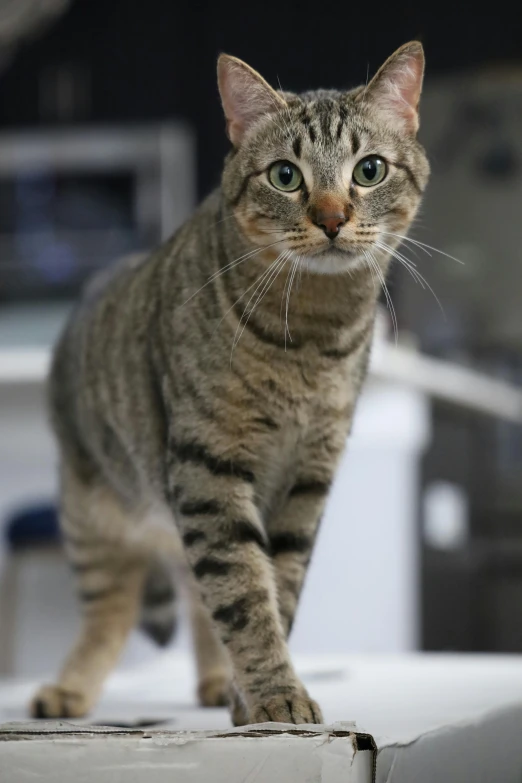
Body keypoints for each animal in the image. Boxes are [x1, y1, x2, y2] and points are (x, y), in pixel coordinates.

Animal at [32, 41, 428, 728]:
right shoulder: (208, 466)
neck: (313, 336)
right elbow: (243, 594)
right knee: (114, 612)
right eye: (286, 176)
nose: (331, 217)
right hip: (92, 516)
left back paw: (217, 681)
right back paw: (70, 690)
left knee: (195, 594)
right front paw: (275, 695)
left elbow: (275, 589)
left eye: (370, 170)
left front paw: (252, 698)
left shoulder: (308, 478)